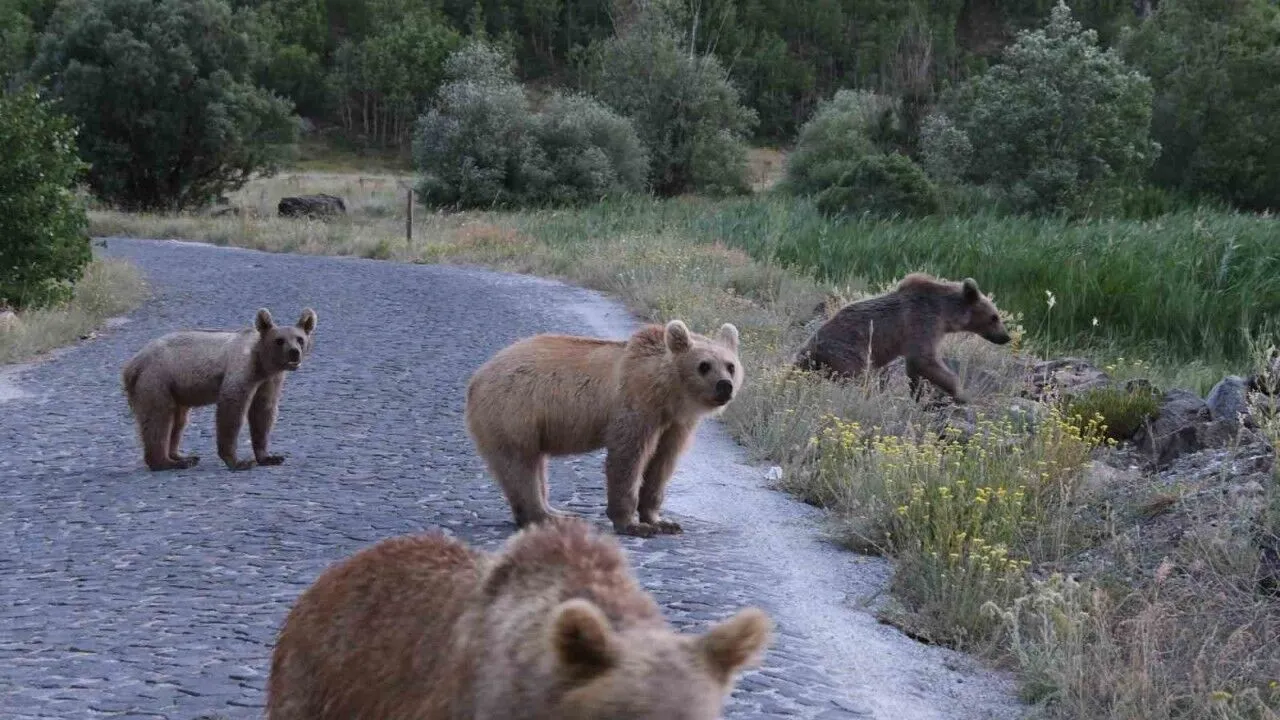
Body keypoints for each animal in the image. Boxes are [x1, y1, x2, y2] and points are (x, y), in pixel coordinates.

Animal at [121, 304, 317, 468]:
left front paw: (270, 457)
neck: (262, 363)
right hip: (157, 379)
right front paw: (239, 461)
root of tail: (132, 364)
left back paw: (183, 456)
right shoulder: (242, 369)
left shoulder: (269, 380)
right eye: (279, 340)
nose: (294, 353)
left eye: (300, 339)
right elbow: (232, 409)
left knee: (179, 420)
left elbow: (263, 412)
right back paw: (167, 462)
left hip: (175, 389)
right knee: (159, 417)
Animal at [463, 317, 742, 532]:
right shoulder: (636, 408)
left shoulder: (674, 424)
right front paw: (632, 523)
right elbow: (628, 457)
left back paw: (555, 512)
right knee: (521, 466)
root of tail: (477, 377)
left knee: (532, 466)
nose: (724, 386)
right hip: (513, 412)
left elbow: (662, 464)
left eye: (731, 366)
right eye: (704, 366)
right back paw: (546, 517)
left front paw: (662, 521)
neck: (665, 393)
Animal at [788, 271, 1008, 399]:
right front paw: (959, 392)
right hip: (847, 352)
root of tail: (808, 348)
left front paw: (917, 392)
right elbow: (925, 359)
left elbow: (916, 367)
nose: (1006, 337)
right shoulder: (922, 323)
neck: (945, 314)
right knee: (860, 377)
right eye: (994, 317)